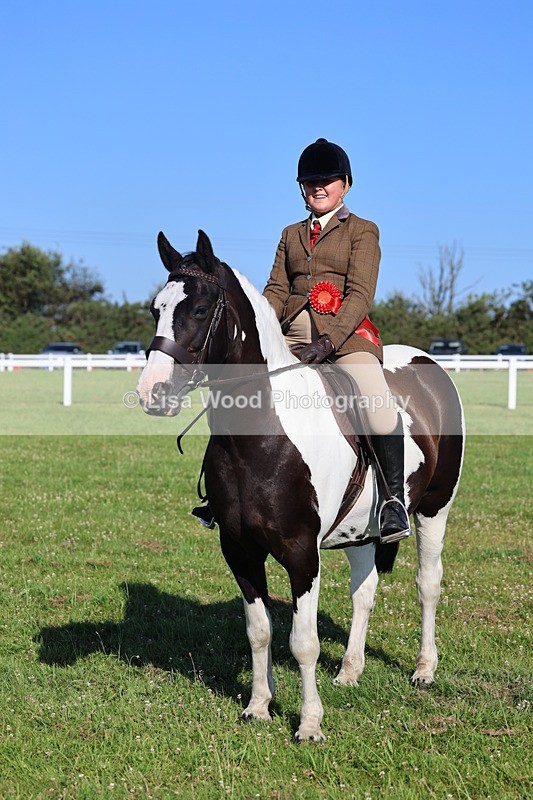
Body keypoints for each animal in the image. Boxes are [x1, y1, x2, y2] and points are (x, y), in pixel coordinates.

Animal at [136, 230, 465, 741]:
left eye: (199, 309)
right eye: (156, 309)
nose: (152, 393)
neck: (263, 433)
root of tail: (430, 365)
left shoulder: (300, 553)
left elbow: (303, 641)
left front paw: (310, 724)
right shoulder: (240, 550)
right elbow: (259, 631)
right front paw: (258, 706)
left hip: (435, 509)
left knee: (428, 583)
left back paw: (424, 670)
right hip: (360, 530)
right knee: (364, 590)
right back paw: (349, 671)